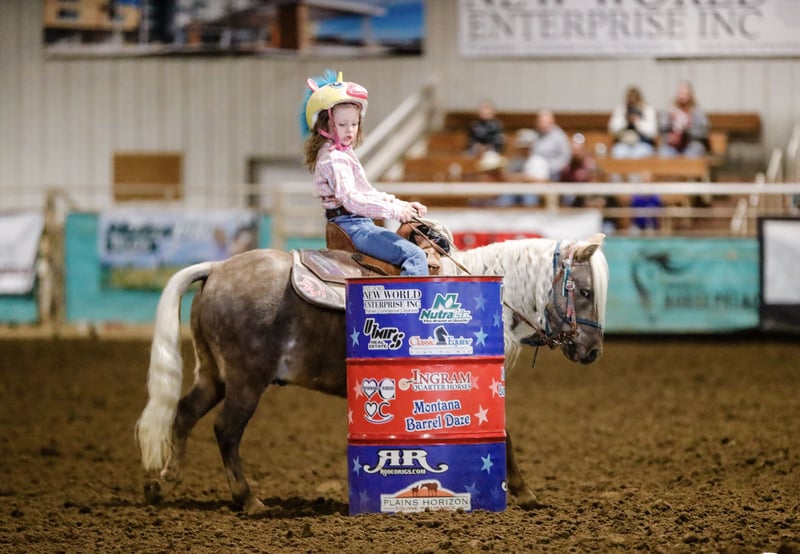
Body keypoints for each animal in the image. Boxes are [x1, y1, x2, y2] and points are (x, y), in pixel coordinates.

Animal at [135, 230, 609, 513]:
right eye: (585, 291)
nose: (592, 351)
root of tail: (216, 269)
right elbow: (504, 433)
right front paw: (527, 494)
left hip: (213, 374)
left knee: (182, 413)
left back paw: (163, 482)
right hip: (246, 380)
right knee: (226, 430)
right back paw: (248, 500)